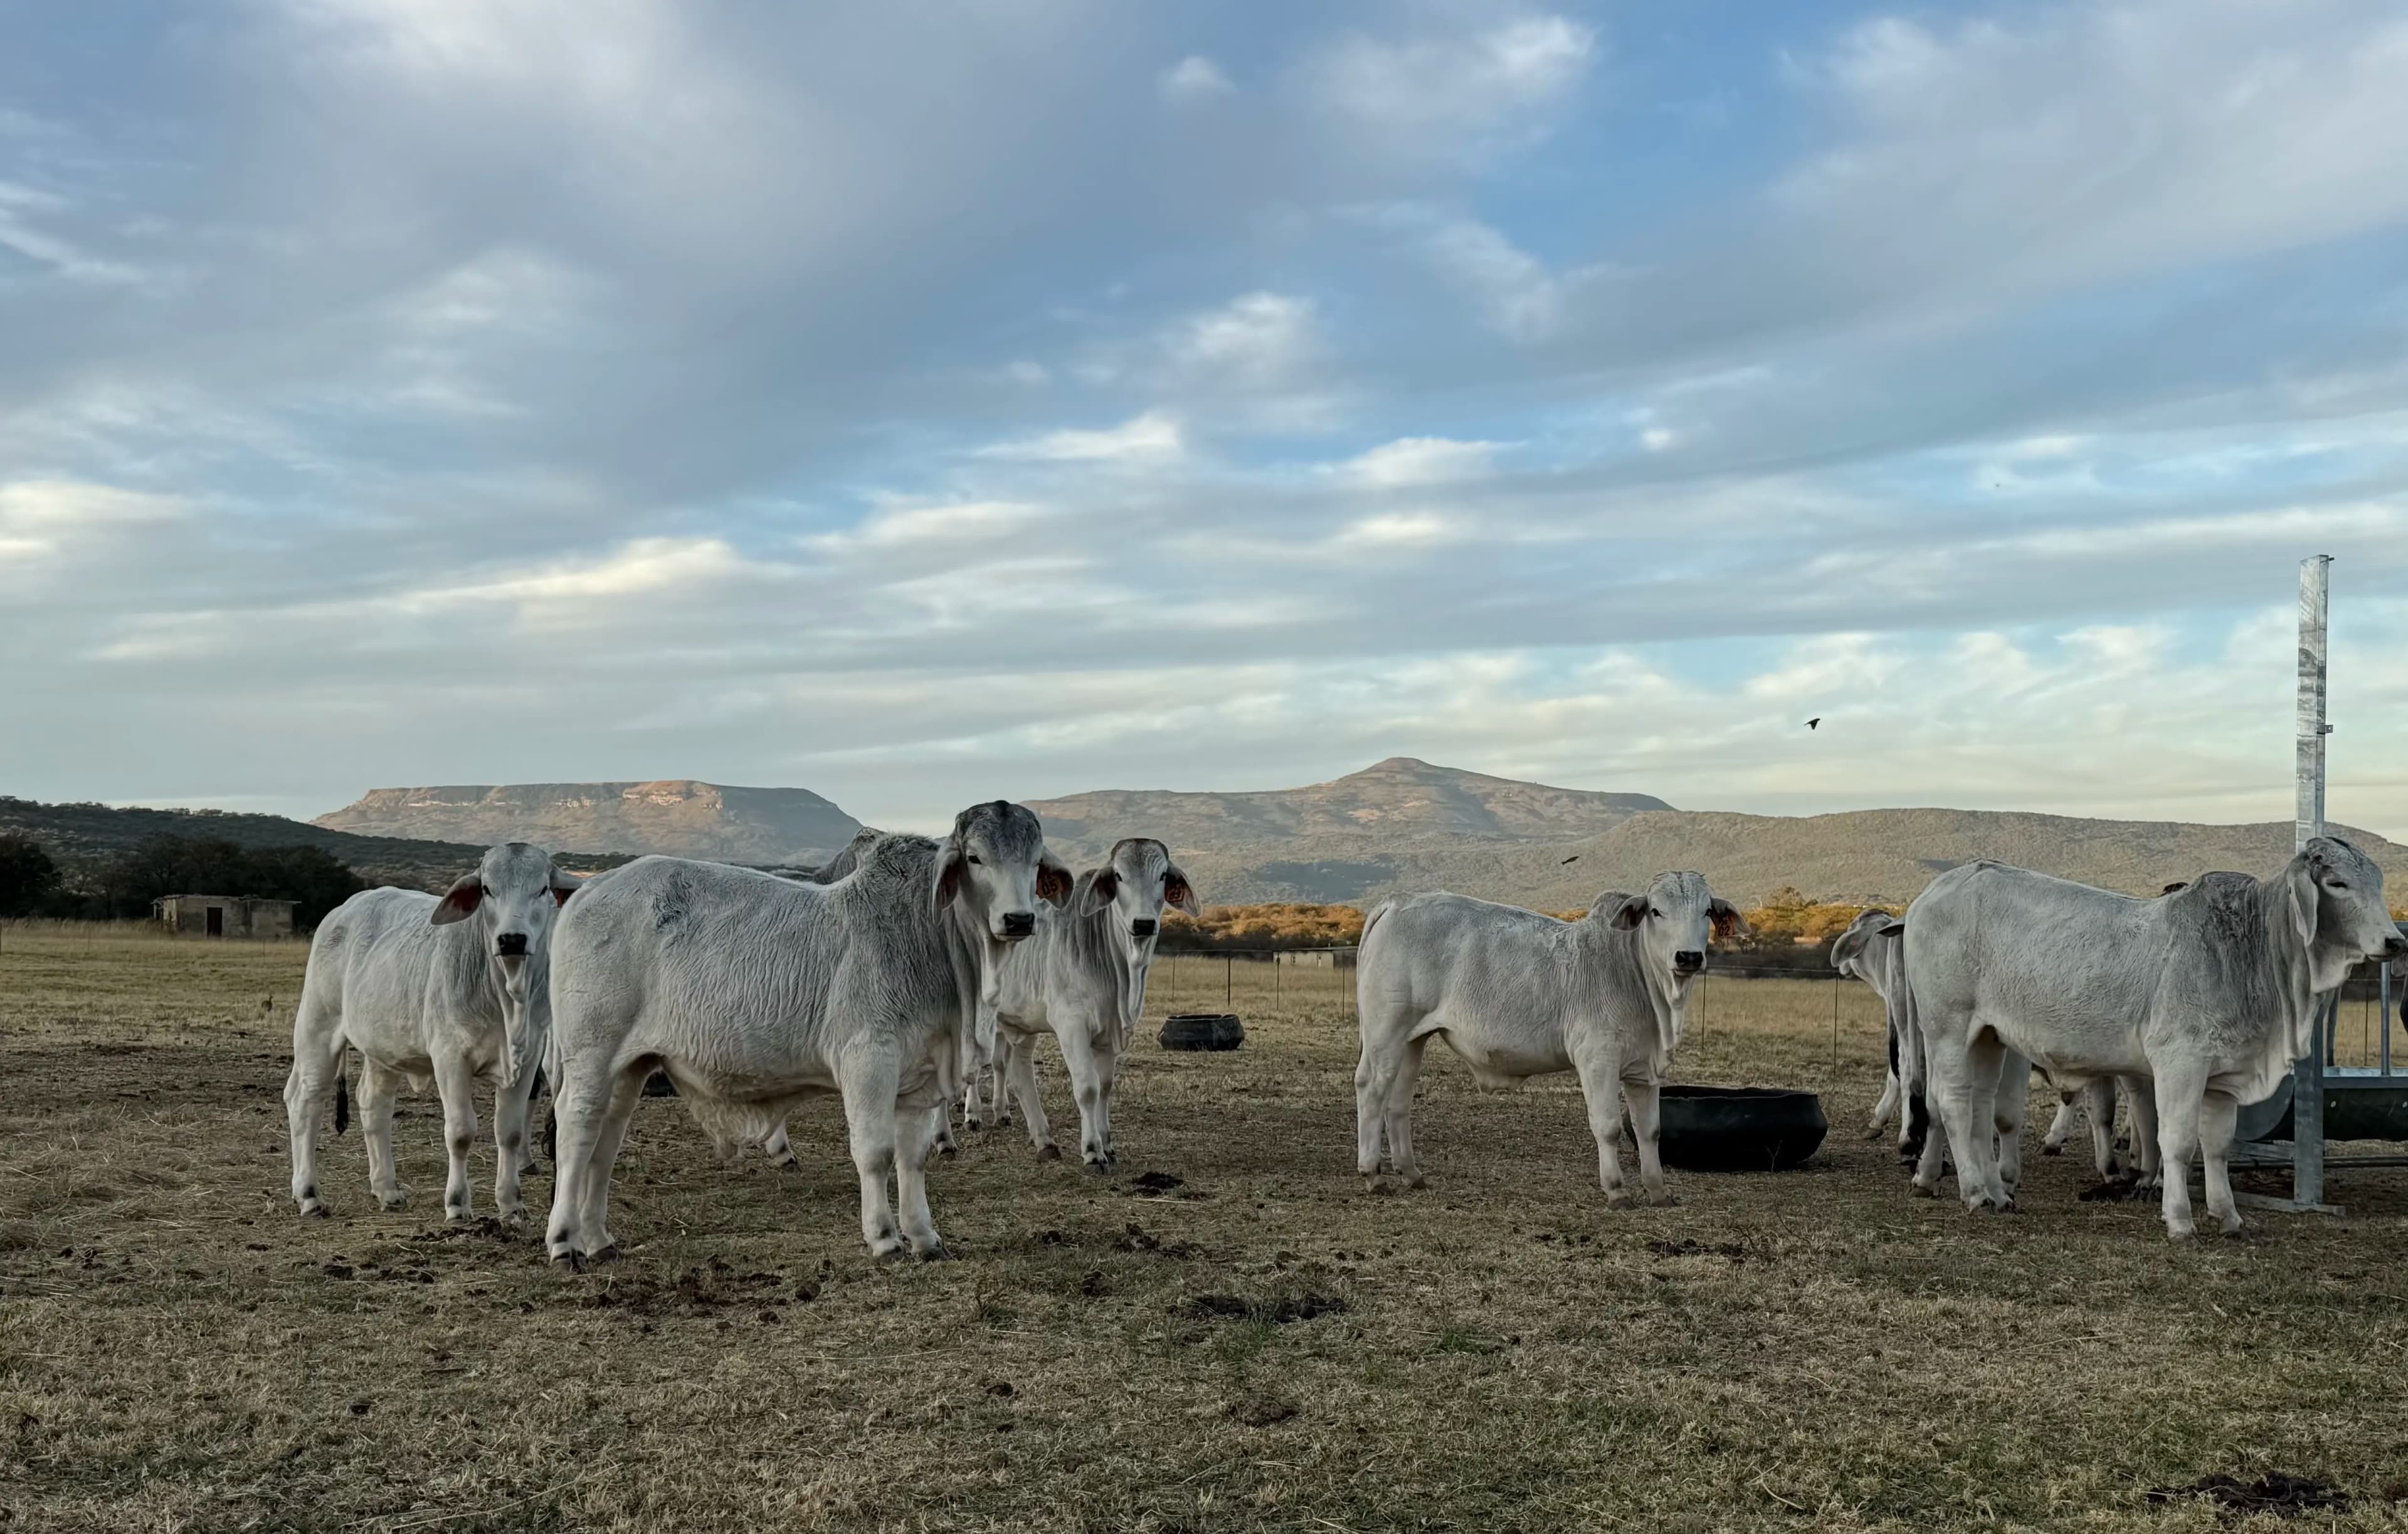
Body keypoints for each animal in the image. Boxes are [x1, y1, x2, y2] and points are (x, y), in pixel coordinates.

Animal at [284, 842, 577, 1222]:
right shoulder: (450, 1057)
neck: (507, 996)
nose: (512, 939)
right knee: (305, 1100)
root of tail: (346, 908)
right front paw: (457, 1204)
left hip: (383, 1047)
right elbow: (461, 1132)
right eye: (487, 889)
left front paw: (512, 1204)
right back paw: (308, 1194)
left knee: (373, 1104)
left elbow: (510, 1133)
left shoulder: (527, 1060)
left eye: (542, 889)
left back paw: (387, 1189)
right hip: (318, 1025)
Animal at [541, 801, 1071, 1263]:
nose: (1019, 919)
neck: (929, 935)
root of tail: (587, 891)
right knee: (576, 1132)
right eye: (976, 858)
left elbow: (912, 1159)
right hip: (590, 1056)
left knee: (605, 1142)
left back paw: (598, 1240)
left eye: (1033, 862)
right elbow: (875, 1154)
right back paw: (565, 1242)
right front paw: (884, 1238)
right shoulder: (868, 1060)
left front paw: (924, 1236)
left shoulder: (921, 1076)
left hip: (629, 1066)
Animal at [984, 838, 1199, 1168]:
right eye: (1119, 876)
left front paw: (1108, 1145)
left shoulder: (1109, 1033)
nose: (1144, 923)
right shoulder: (1071, 1024)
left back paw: (1044, 1140)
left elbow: (1105, 1088)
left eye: (1163, 875)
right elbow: (1087, 1088)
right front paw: (1093, 1150)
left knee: (1019, 1074)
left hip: (1022, 1022)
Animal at [1353, 873, 1744, 1206]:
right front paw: (1617, 1191)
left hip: (1412, 1040)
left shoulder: (1643, 1070)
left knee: (1398, 1101)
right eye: (1657, 911)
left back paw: (1411, 1173)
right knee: (1371, 1088)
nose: (1688, 957)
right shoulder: (1597, 1059)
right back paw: (1373, 1174)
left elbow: (1650, 1131)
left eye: (1706, 911)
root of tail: (1400, 901)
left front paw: (1659, 1192)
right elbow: (1608, 1127)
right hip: (1385, 1032)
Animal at [1903, 837, 2405, 1239]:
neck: (2251, 950)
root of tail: (1934, 891)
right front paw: (2180, 1219)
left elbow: (2217, 1148)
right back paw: (1974, 1192)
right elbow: (2178, 1142)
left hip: (1988, 1036)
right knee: (1952, 1104)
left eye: (2377, 882)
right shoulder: (2180, 1062)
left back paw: (1997, 1192)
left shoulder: (2224, 1077)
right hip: (1947, 1028)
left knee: (1980, 1108)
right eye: (2337, 884)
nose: (2395, 941)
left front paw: (2229, 1217)